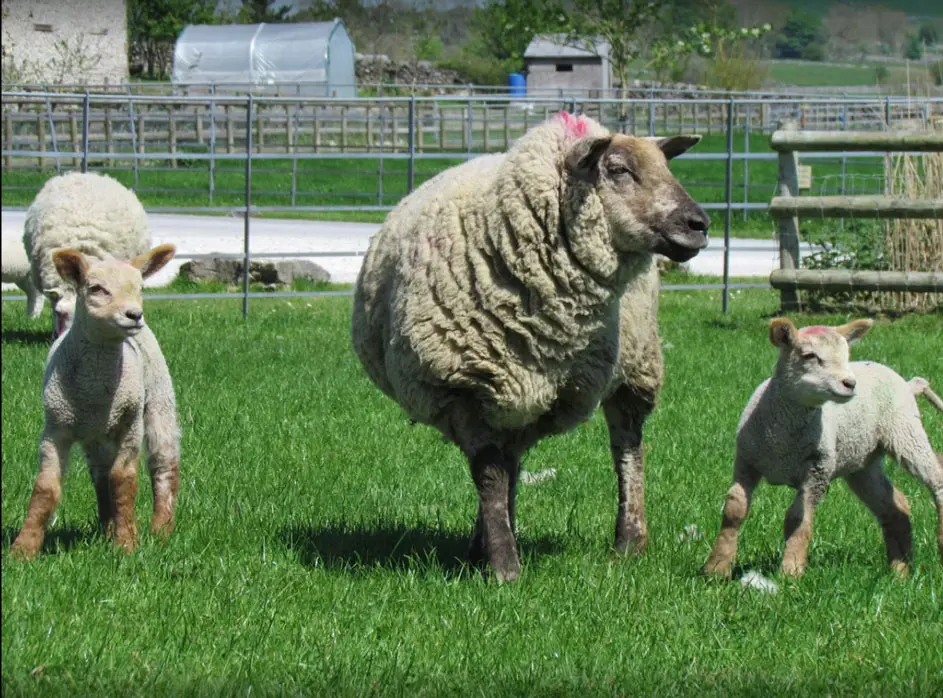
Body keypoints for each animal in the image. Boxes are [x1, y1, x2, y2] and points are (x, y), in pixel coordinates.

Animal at [10, 244, 181, 561]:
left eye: (140, 288)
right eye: (97, 289)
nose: (134, 315)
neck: (95, 388)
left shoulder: (130, 425)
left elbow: (124, 481)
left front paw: (126, 544)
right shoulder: (55, 429)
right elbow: (45, 488)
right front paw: (23, 549)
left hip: (159, 400)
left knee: (163, 465)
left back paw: (161, 529)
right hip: (95, 436)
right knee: (101, 478)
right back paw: (107, 527)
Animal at [352, 112, 710, 581]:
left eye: (666, 167)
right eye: (617, 170)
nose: (699, 224)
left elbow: (494, 475)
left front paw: (503, 566)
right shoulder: (464, 388)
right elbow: (489, 475)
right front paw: (504, 562)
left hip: (635, 365)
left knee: (627, 449)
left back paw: (629, 543)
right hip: (519, 398)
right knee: (509, 465)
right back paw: (483, 545)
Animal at [702, 318, 943, 580]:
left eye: (846, 355)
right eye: (809, 355)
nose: (850, 383)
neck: (781, 439)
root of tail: (908, 385)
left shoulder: (818, 468)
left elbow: (798, 519)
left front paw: (791, 570)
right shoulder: (746, 460)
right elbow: (734, 509)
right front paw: (717, 568)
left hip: (905, 432)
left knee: (936, 479)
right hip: (861, 464)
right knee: (894, 506)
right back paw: (900, 571)